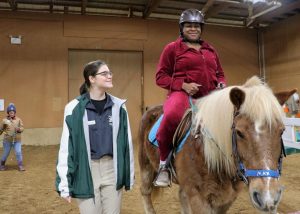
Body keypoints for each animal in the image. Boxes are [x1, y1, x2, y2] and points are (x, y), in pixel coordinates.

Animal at [138, 77, 296, 214]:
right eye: (239, 132)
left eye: (282, 131)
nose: (268, 197)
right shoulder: (198, 198)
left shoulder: (227, 199)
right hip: (146, 165)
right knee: (145, 191)